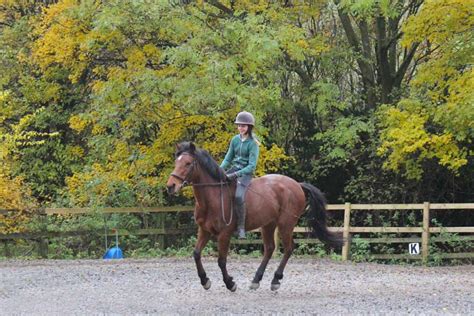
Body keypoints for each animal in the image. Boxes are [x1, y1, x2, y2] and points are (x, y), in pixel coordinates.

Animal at [165, 141, 342, 292]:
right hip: (268, 225)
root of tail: (297, 184)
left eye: (188, 163)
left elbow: (221, 260)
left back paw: (275, 280)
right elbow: (196, 254)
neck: (213, 197)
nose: (171, 186)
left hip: (286, 224)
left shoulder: (224, 234)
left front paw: (230, 284)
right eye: (176, 162)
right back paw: (256, 280)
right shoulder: (204, 230)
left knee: (288, 248)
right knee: (270, 249)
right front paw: (205, 281)